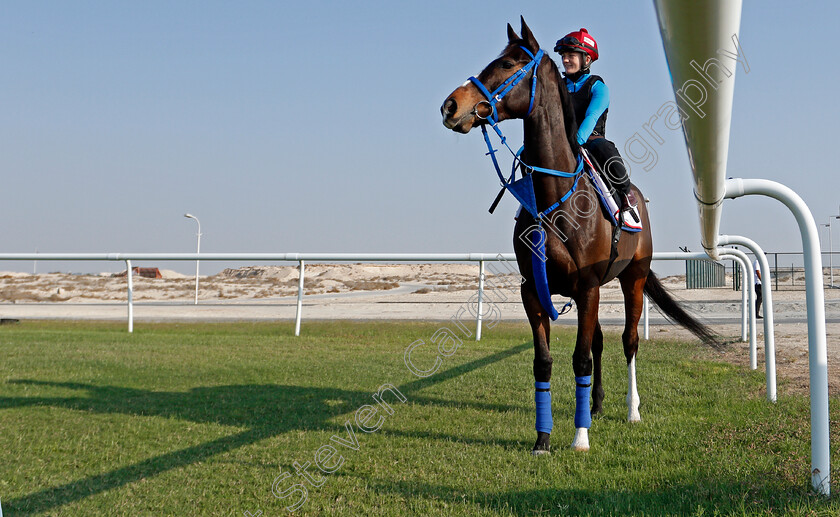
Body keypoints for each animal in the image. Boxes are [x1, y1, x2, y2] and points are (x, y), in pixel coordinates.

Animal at [440, 17, 716, 452]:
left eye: (508, 63)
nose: (451, 106)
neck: (555, 200)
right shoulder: (535, 291)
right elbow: (545, 362)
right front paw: (542, 439)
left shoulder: (587, 288)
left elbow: (581, 358)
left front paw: (579, 438)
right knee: (600, 340)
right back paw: (597, 405)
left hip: (633, 279)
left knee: (628, 341)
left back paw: (632, 410)